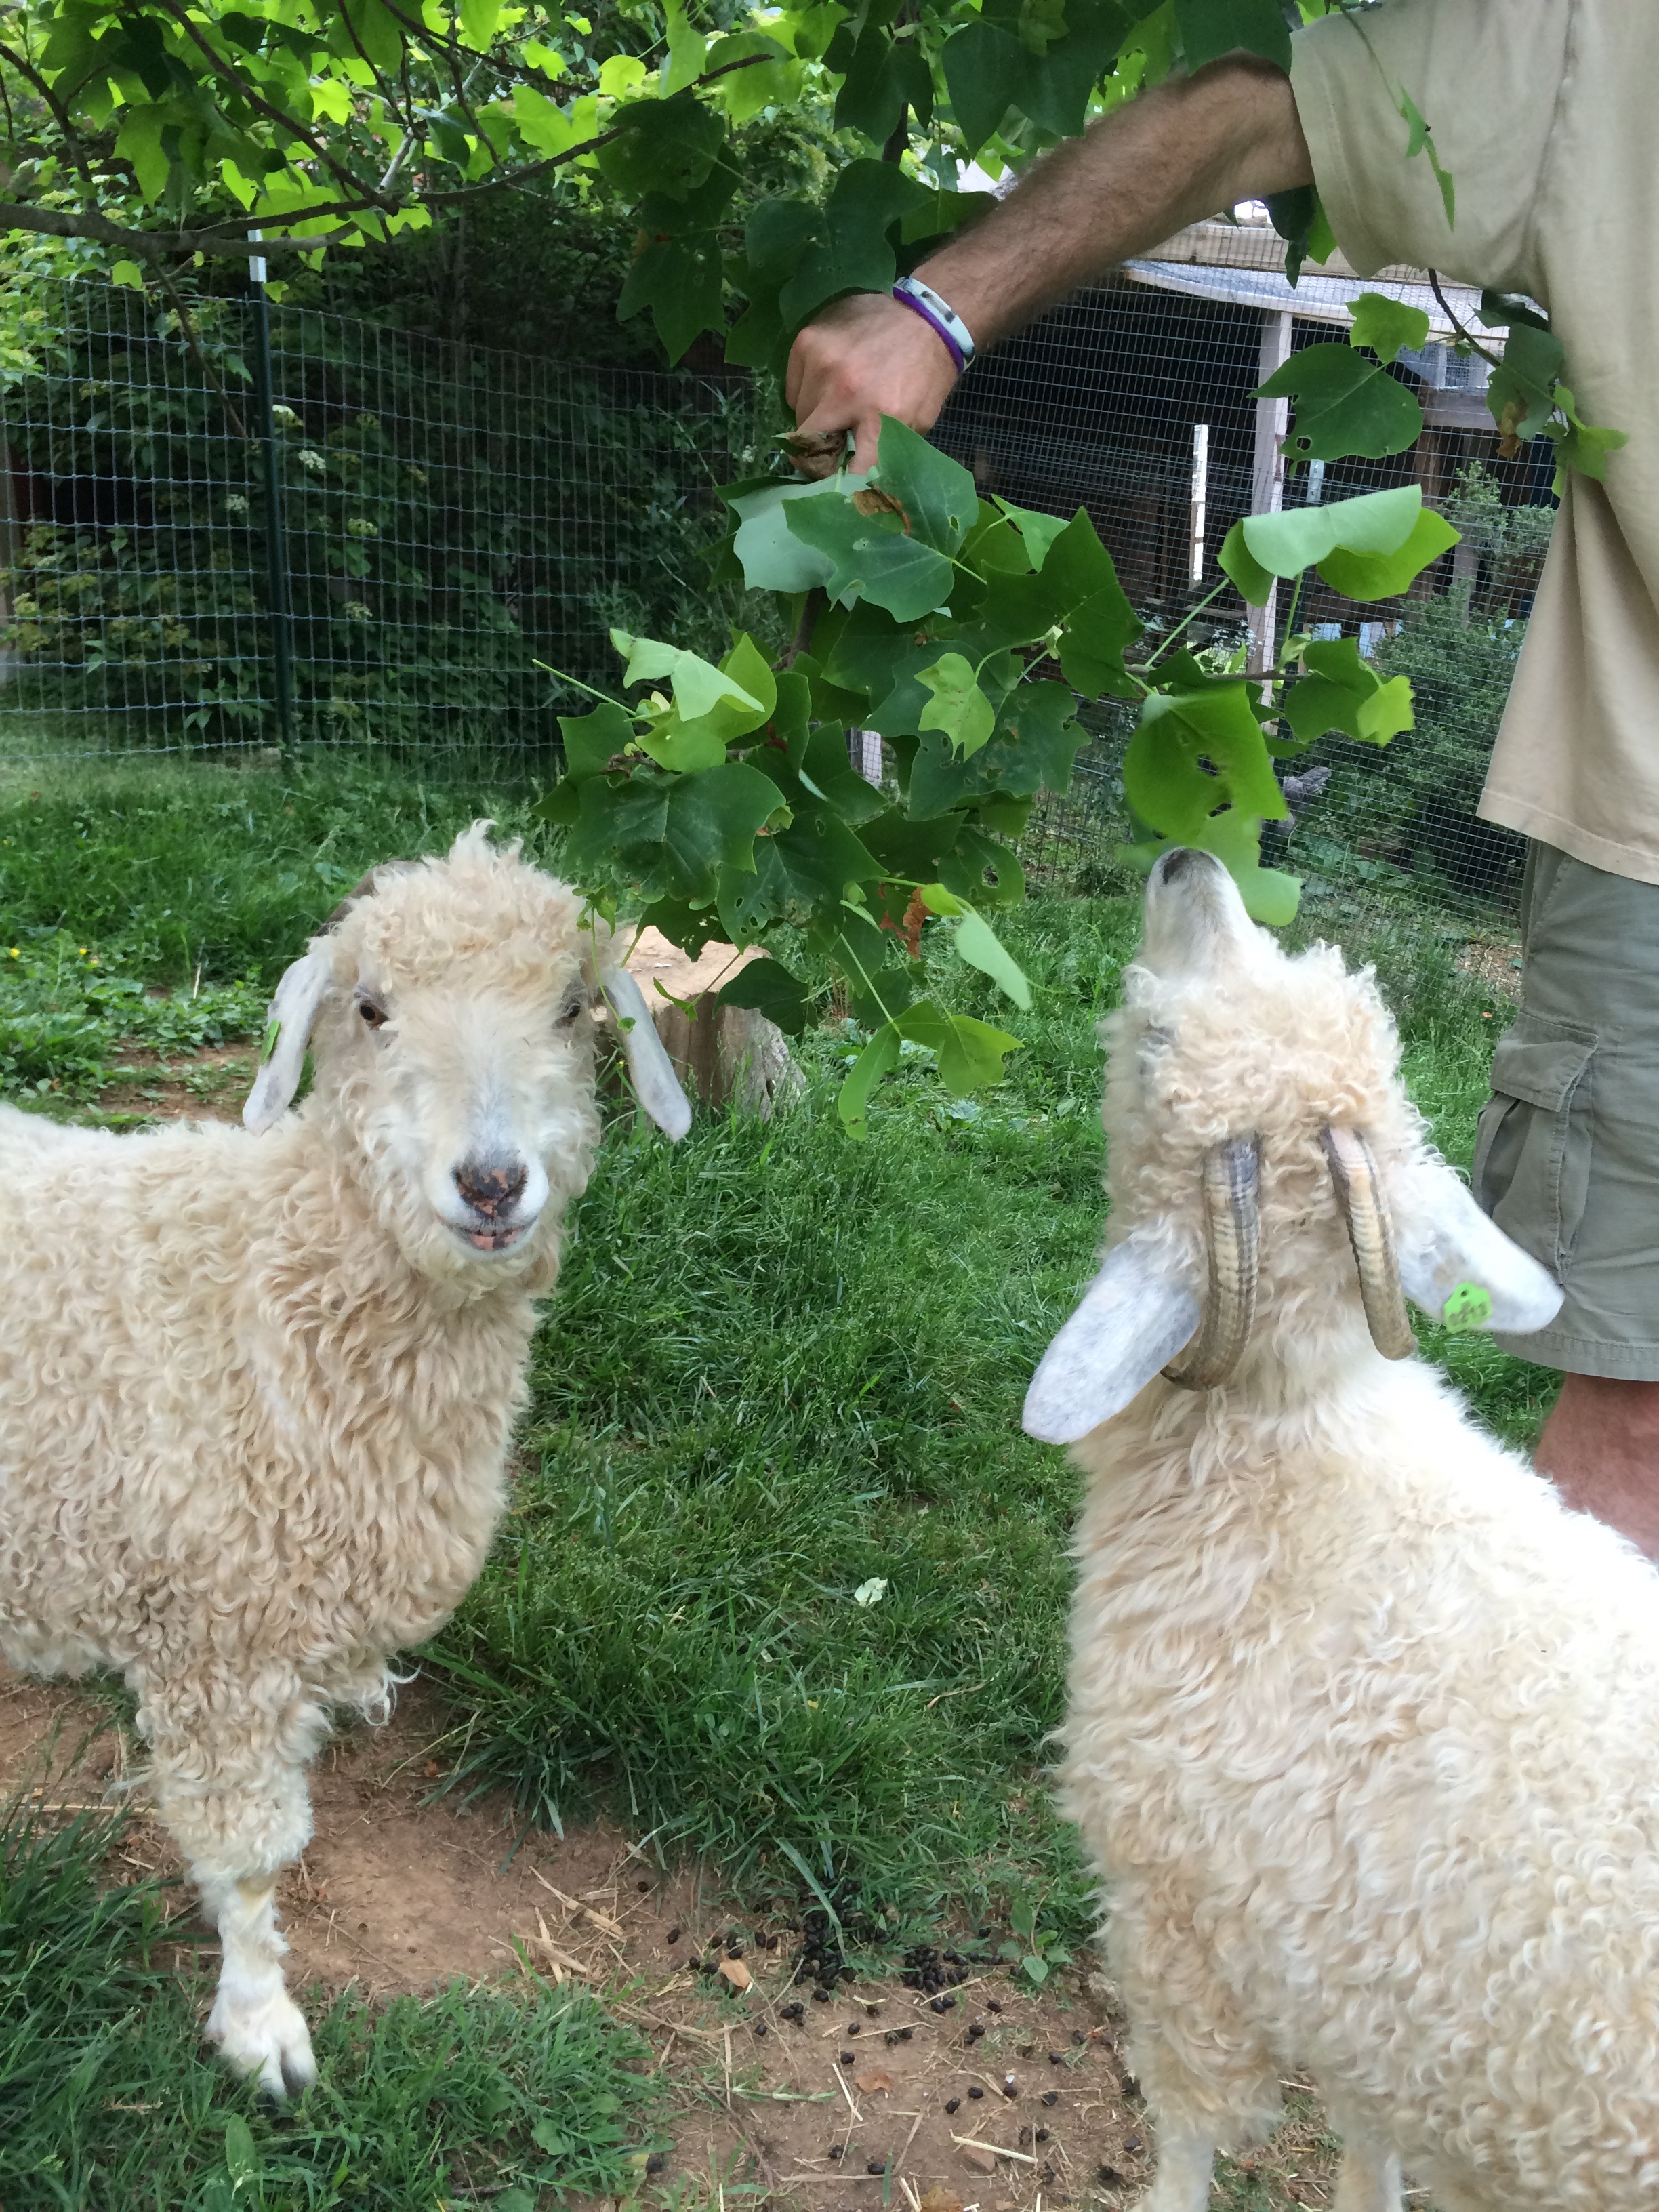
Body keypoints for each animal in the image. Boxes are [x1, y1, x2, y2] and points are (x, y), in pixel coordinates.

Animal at [0, 827, 690, 2088]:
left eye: (573, 1006)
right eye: (370, 1008)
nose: (490, 1182)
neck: (274, 1275)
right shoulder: (213, 1639)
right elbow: (250, 1857)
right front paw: (260, 2019)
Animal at [1026, 844, 1659, 2212]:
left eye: (1152, 1044)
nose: (1186, 858)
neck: (1288, 1465)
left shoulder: (1183, 1922)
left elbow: (1189, 2135)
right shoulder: (1376, 1980)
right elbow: (1372, 2141)